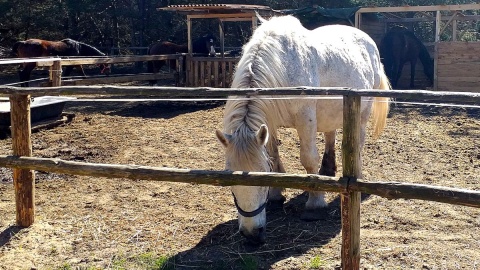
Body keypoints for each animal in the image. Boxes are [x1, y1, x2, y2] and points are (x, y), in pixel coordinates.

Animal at [216, 15, 388, 247]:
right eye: (229, 181)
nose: (252, 234)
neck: (282, 65)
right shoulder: (269, 124)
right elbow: (273, 157)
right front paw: (276, 195)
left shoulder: (305, 120)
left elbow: (308, 159)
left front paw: (315, 204)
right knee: (330, 135)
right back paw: (328, 170)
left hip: (361, 114)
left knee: (358, 144)